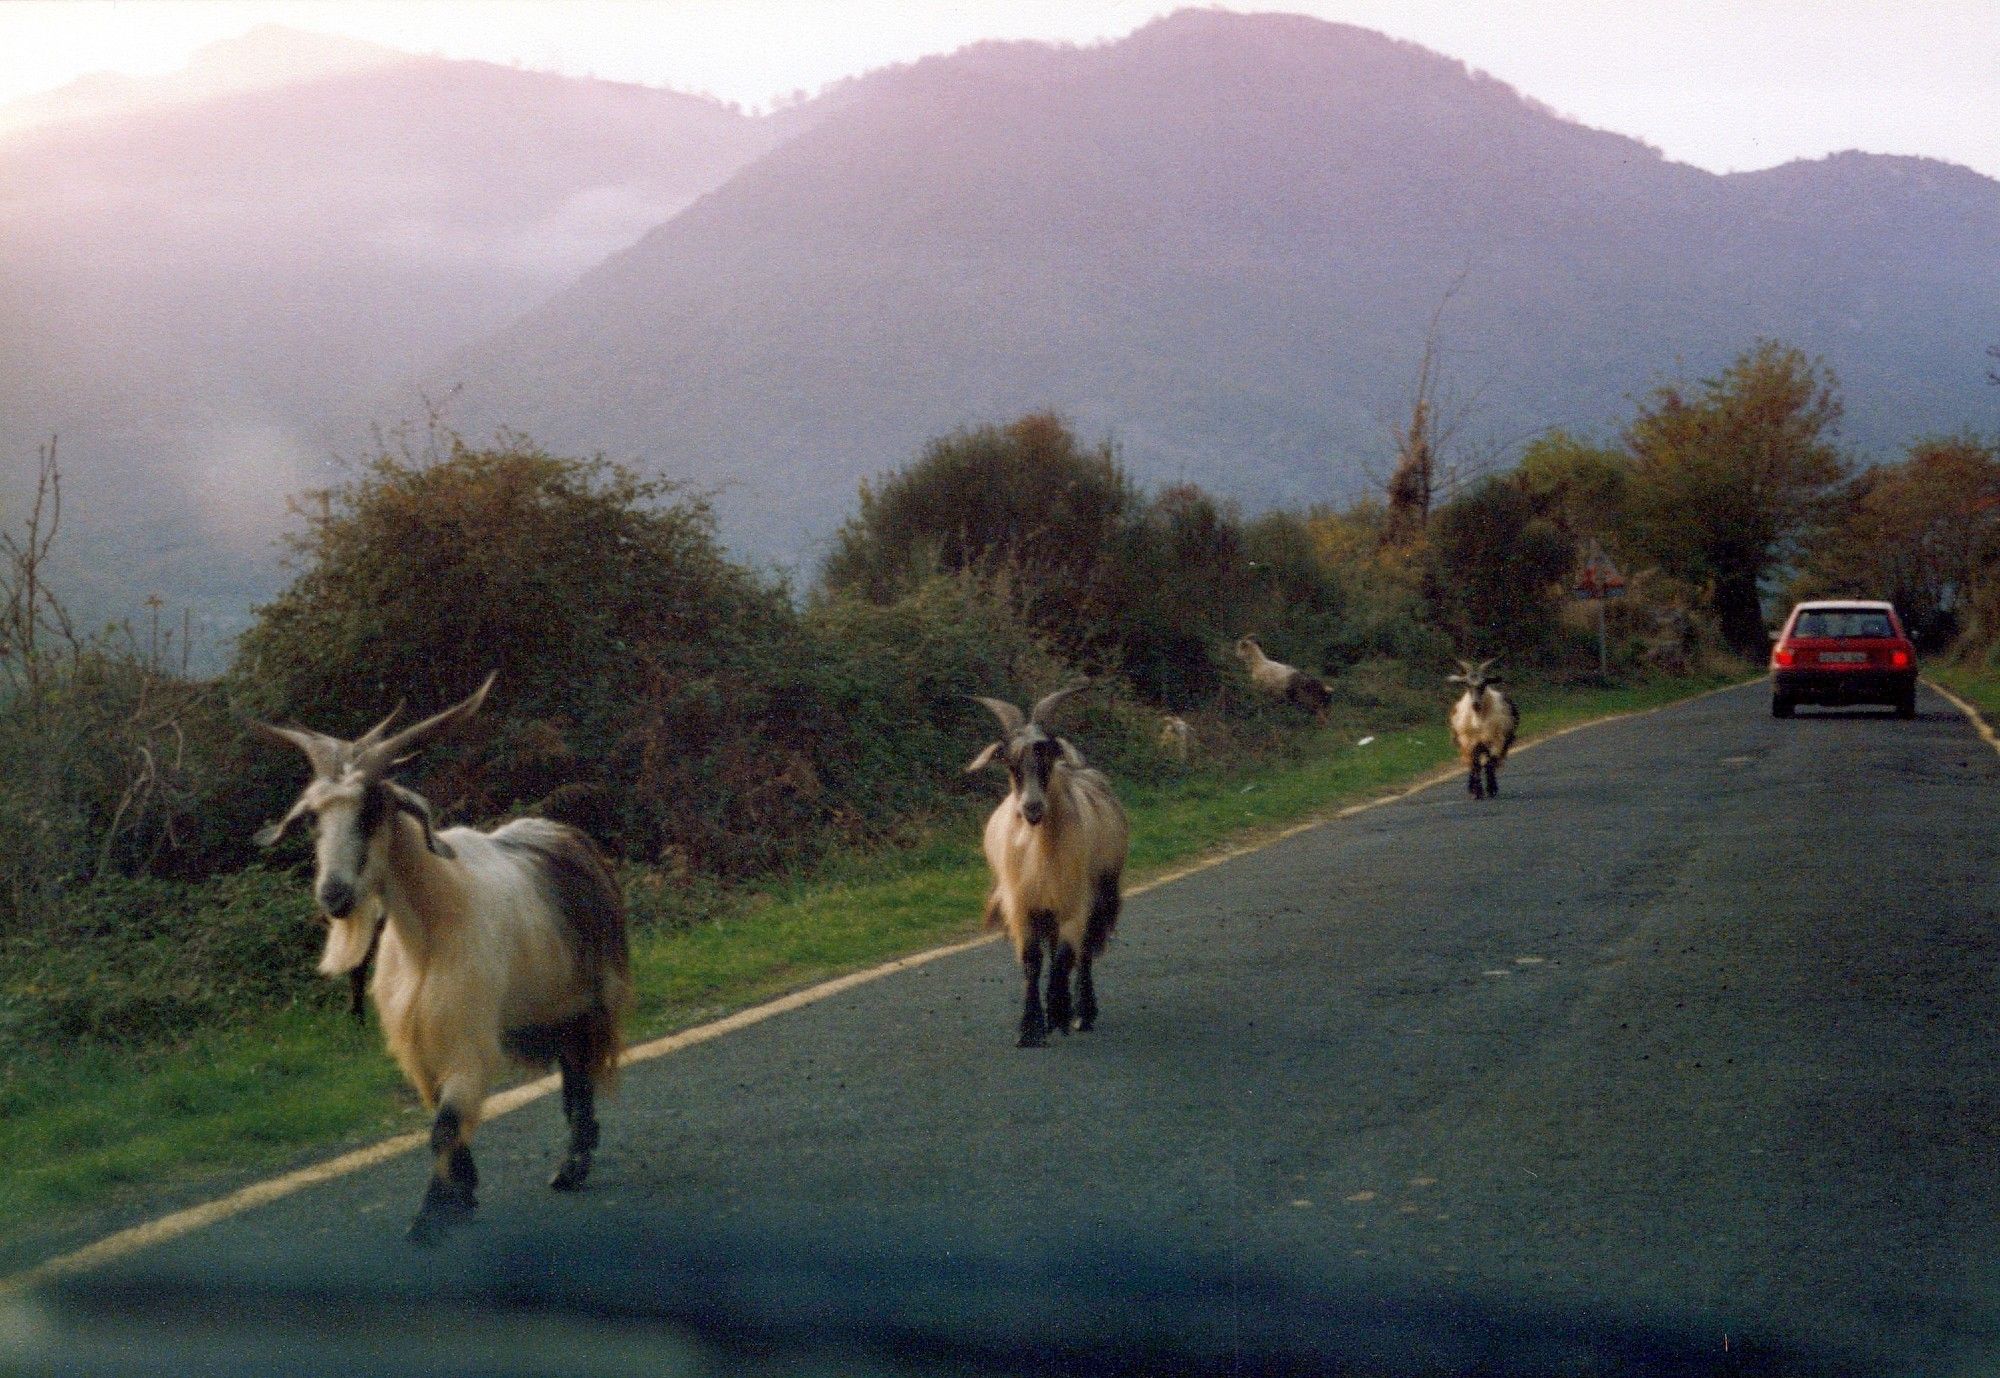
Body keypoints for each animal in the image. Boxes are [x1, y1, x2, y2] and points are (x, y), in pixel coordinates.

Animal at [252, 672, 624, 1240]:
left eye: (372, 809)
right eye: (313, 818)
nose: (333, 895)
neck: (428, 930)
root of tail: (569, 837)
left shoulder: (468, 1034)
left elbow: (444, 1126)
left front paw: (431, 1216)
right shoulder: (420, 1044)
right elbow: (444, 1123)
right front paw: (461, 1194)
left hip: (588, 1001)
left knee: (578, 1079)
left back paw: (572, 1166)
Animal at [972, 684, 1136, 1048]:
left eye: (1047, 755)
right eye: (1011, 763)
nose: (1032, 808)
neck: (1040, 848)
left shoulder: (1075, 902)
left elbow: (1064, 958)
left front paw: (1059, 1013)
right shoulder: (1022, 906)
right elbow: (1033, 962)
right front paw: (1030, 1029)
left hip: (1098, 896)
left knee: (1084, 953)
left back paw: (1083, 1012)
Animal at [1456, 656, 1512, 796]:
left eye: (1484, 684)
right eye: (1467, 684)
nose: (1475, 704)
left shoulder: (1495, 741)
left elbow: (1489, 763)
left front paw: (1491, 788)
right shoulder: (1470, 743)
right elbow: (1475, 765)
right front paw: (1477, 791)